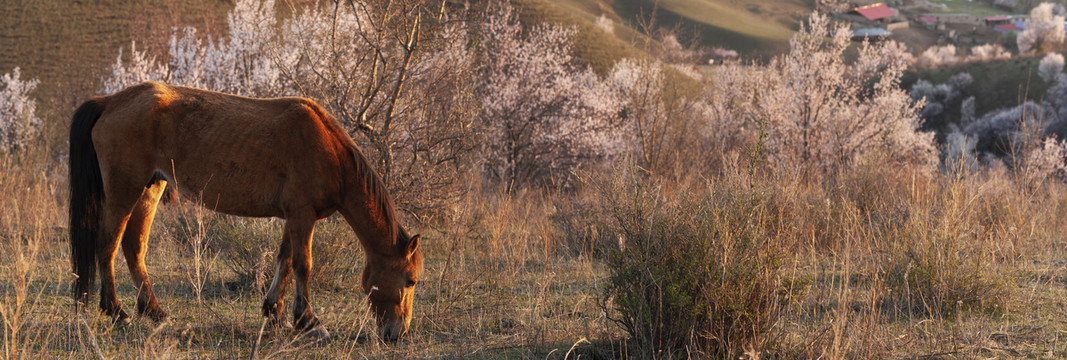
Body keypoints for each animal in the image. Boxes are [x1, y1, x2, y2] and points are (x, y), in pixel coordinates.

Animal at [65, 81, 424, 339]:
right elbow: (303, 265)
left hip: (151, 188)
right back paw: (116, 312)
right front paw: (309, 322)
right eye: (410, 280)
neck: (327, 150)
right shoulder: (302, 215)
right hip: (124, 191)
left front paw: (274, 313)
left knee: (133, 247)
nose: (397, 333)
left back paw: (154, 311)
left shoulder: (292, 217)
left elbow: (284, 259)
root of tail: (111, 101)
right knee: (107, 246)